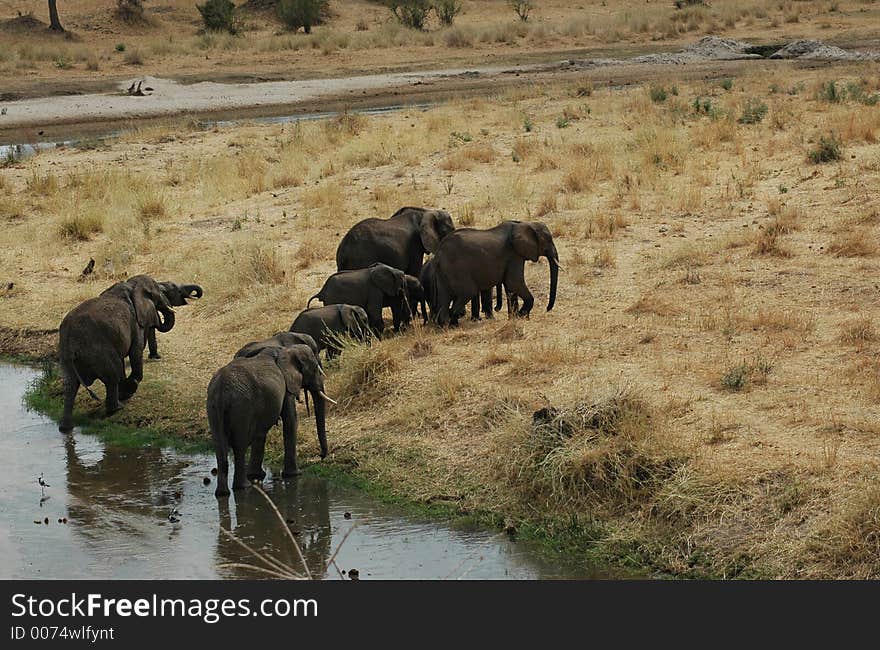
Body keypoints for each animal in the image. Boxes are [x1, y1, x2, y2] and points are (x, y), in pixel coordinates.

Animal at [58, 274, 175, 430]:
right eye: (159, 295)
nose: (157, 320)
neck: (131, 285)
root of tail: (71, 342)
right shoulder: (135, 323)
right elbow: (136, 352)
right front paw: (129, 390)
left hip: (66, 356)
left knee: (70, 385)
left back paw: (65, 428)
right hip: (98, 350)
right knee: (112, 375)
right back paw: (117, 408)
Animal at [205, 344, 330, 496]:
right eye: (315, 369)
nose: (321, 455)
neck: (287, 350)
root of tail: (221, 390)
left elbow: (261, 433)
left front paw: (257, 475)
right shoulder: (286, 385)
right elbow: (290, 421)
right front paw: (295, 475)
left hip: (213, 408)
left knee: (220, 446)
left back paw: (223, 493)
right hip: (242, 406)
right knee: (239, 446)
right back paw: (244, 486)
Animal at [434, 221, 564, 324]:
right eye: (549, 241)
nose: (547, 309)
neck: (525, 224)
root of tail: (439, 250)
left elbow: (510, 287)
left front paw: (514, 318)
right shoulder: (514, 255)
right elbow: (514, 283)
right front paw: (520, 315)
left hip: (443, 270)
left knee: (444, 297)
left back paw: (445, 325)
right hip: (456, 268)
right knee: (468, 291)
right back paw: (453, 324)